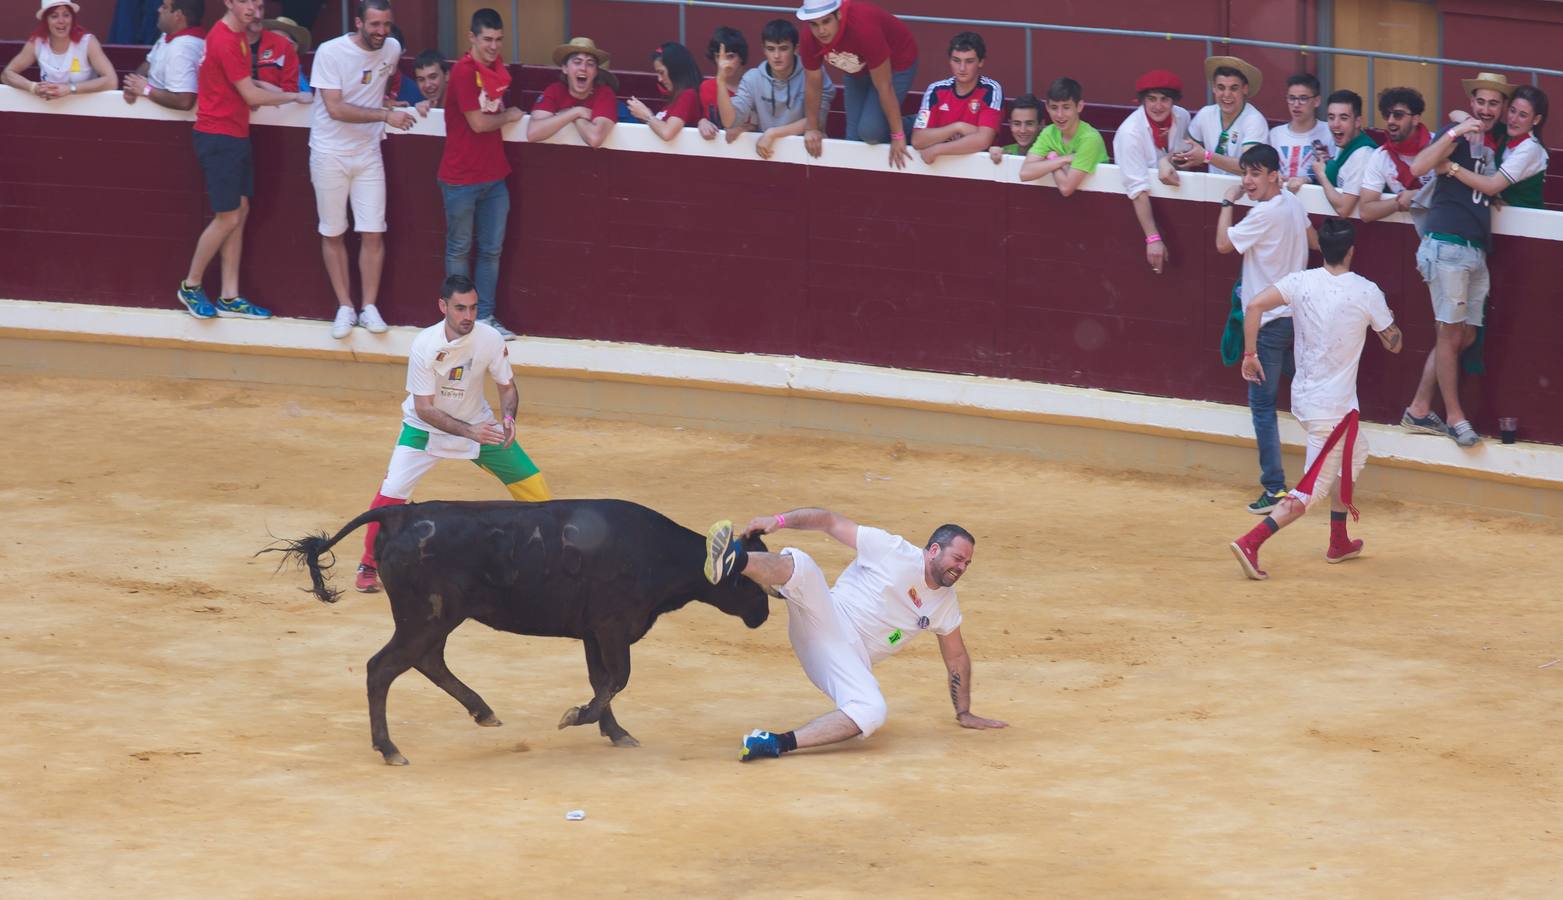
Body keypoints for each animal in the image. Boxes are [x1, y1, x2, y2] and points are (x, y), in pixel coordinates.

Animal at [276, 500, 775, 765]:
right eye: (750, 579)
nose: (764, 613)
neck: (658, 554)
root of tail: (401, 516)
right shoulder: (612, 626)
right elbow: (617, 679)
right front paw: (577, 717)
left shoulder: (593, 633)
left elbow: (603, 680)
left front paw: (614, 731)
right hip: (425, 618)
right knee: (382, 669)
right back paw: (389, 748)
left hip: (436, 620)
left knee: (427, 661)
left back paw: (483, 712)